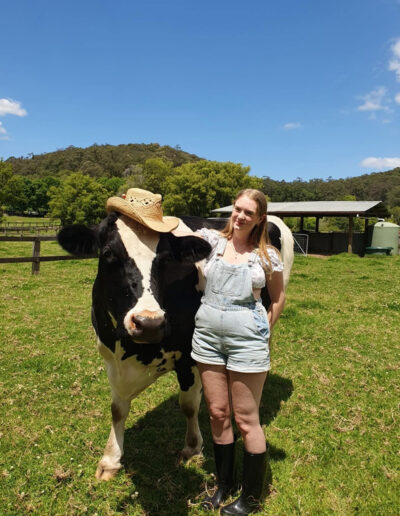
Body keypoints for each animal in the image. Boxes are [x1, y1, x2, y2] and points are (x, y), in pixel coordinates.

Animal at [57, 211, 293, 481]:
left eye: (166, 258)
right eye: (108, 253)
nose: (148, 323)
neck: (132, 351)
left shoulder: (190, 357)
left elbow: (188, 405)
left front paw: (192, 447)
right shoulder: (110, 360)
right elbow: (117, 409)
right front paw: (110, 460)